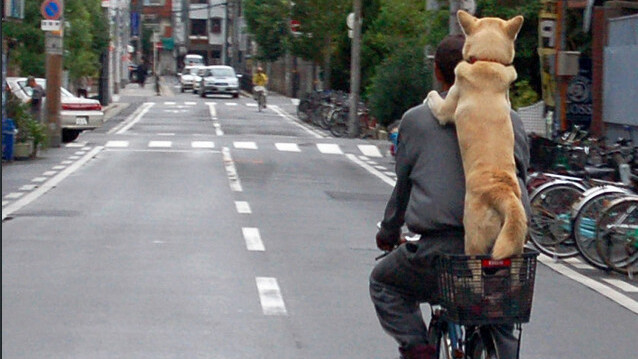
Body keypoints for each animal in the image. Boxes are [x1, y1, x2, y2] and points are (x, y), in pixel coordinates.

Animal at [428, 9, 528, 260]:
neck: (487, 61)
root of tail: (503, 193)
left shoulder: (446, 108)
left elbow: (434, 99)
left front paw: (428, 95)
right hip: (515, 241)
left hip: (474, 238)